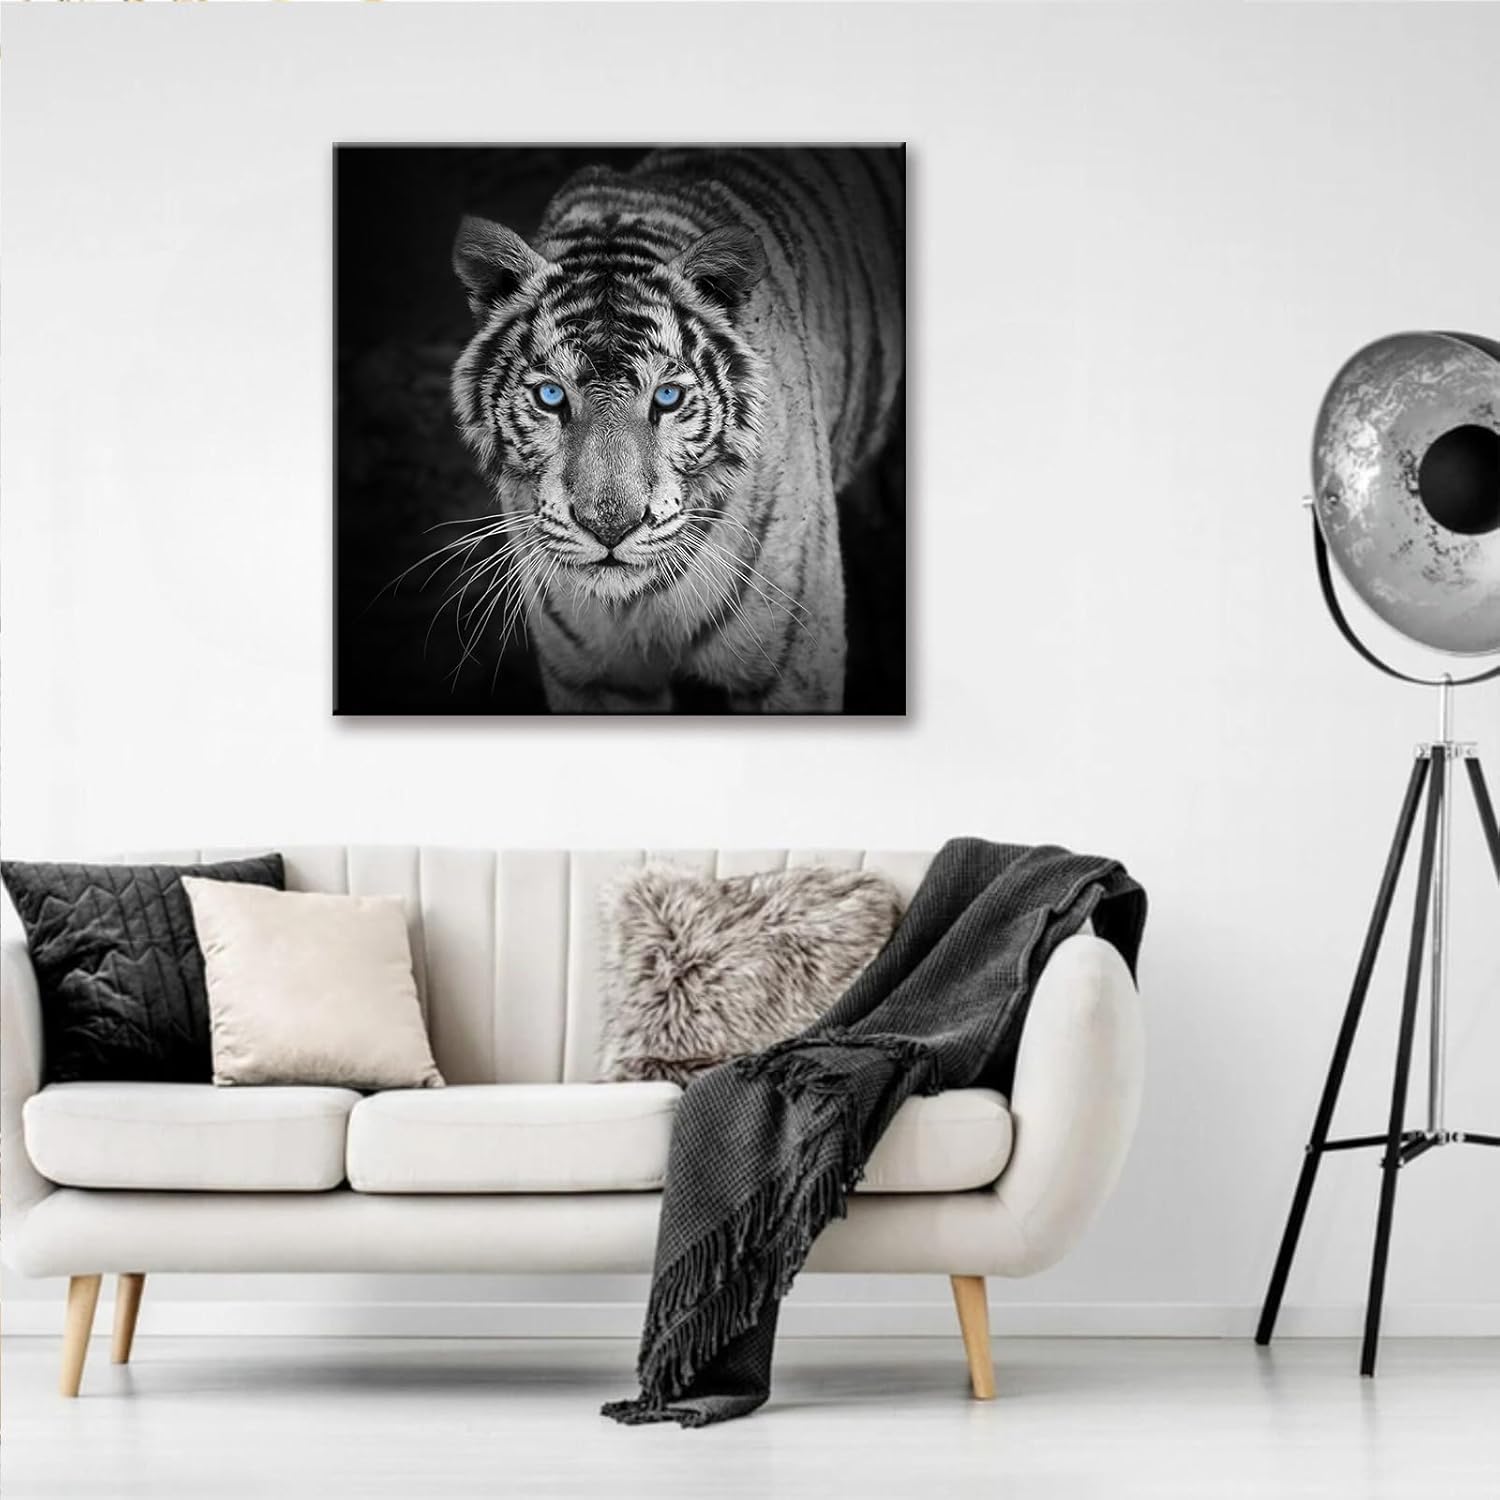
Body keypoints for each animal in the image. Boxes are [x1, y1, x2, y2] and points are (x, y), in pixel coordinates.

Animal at [448, 146, 904, 713]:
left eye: (666, 397)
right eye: (551, 395)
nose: (610, 529)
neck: (635, 604)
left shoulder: (793, 670)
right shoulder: (594, 680)